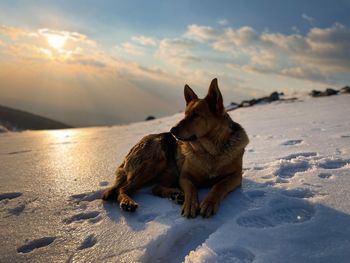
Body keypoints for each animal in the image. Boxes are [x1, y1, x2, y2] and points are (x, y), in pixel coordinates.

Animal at [102, 79, 249, 219]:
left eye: (196, 115)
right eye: (185, 114)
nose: (172, 130)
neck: (211, 152)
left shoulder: (236, 176)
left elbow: (219, 185)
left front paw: (209, 202)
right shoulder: (184, 176)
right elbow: (191, 189)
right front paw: (190, 204)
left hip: (169, 171)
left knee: (155, 188)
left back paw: (175, 194)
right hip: (157, 161)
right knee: (122, 189)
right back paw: (127, 202)